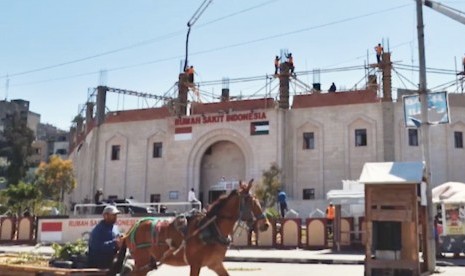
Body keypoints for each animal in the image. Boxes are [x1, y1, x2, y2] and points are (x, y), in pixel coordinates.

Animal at [108, 179, 268, 276]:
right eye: (250, 201)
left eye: (258, 200)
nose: (265, 224)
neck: (211, 229)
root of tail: (129, 232)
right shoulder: (195, 264)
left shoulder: (215, 263)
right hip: (142, 260)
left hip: (147, 263)